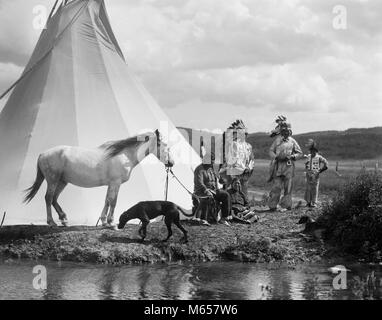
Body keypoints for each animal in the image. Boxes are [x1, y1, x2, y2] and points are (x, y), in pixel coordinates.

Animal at [23, 130, 172, 228]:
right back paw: (52, 222)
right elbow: (113, 201)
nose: (171, 163)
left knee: (54, 199)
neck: (124, 155)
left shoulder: (111, 184)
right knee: (48, 198)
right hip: (53, 180)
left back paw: (64, 220)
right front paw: (111, 223)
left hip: (62, 181)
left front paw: (104, 221)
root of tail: (43, 154)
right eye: (165, 146)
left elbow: (107, 201)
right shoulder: (115, 183)